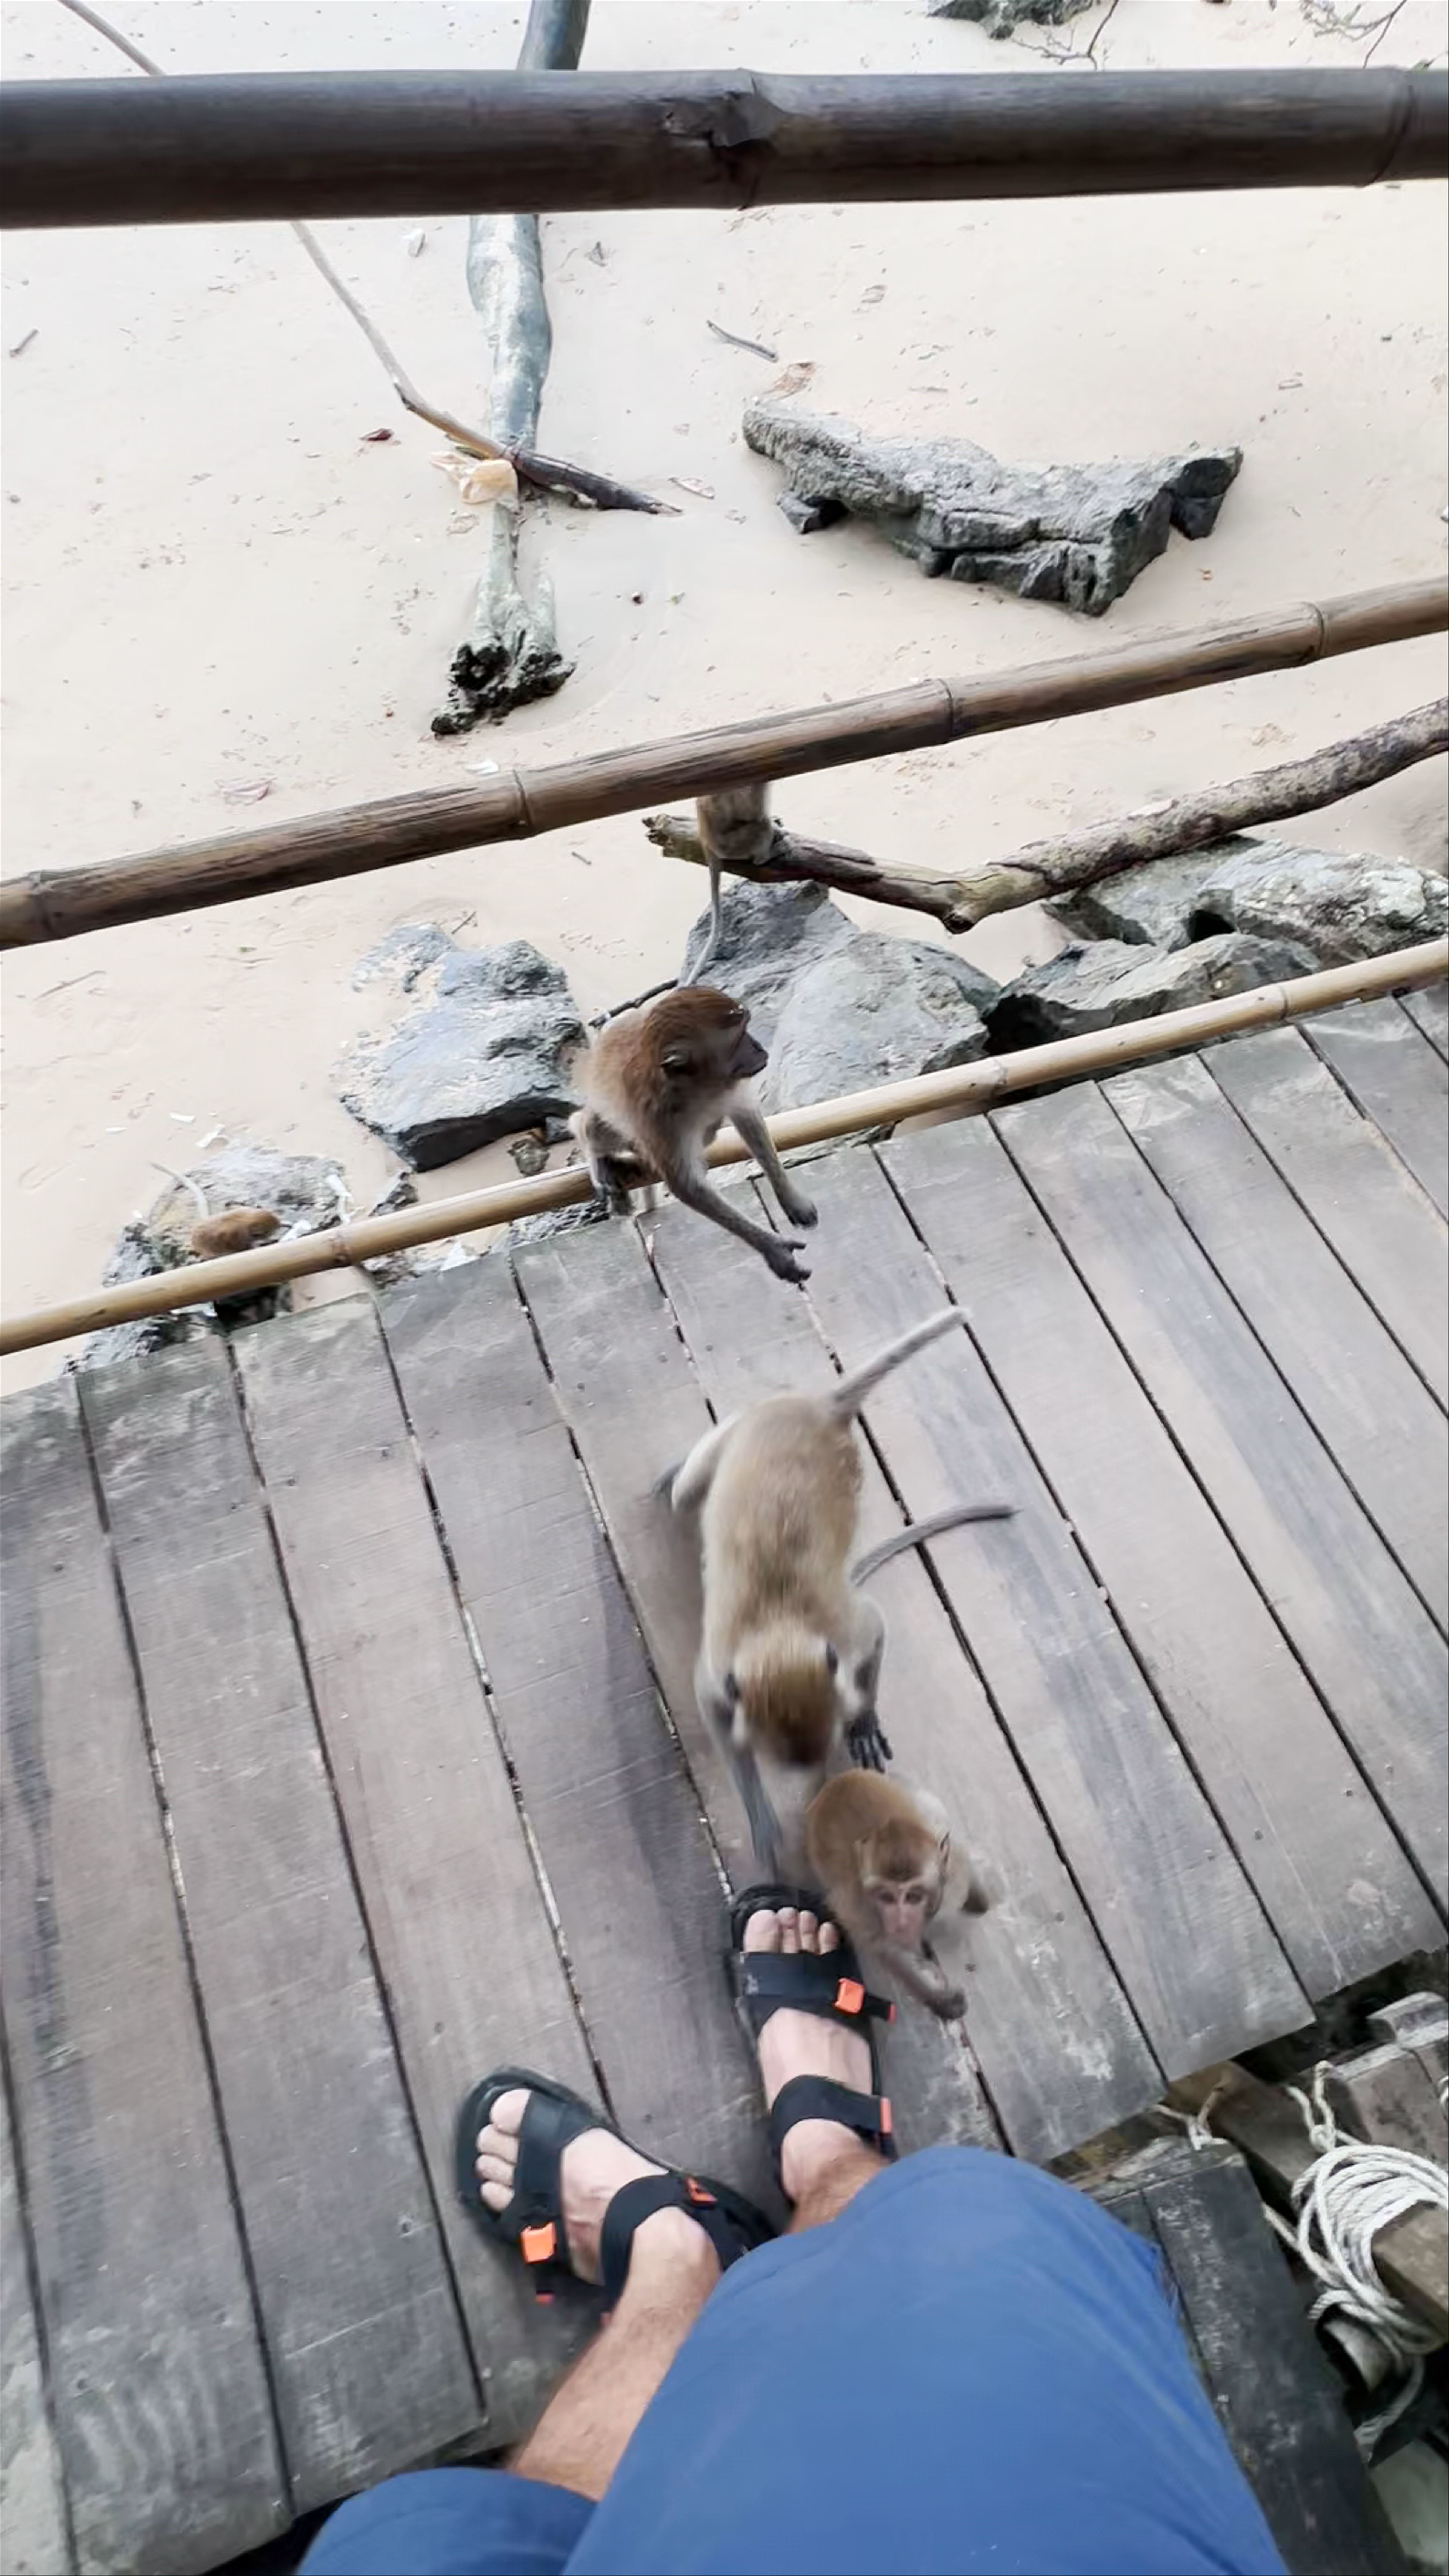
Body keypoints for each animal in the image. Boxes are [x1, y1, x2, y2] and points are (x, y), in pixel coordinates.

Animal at [570, 985, 817, 1284]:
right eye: (739, 1038)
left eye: (747, 1026)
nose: (760, 1048)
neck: (698, 1087)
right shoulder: (658, 1118)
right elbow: (687, 1185)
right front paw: (773, 1248)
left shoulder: (729, 1087)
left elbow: (749, 1117)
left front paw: (792, 1199)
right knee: (594, 1126)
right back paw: (596, 1152)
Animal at [669, 1308, 1013, 1867]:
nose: (816, 1770)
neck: (779, 1627)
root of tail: (823, 1410)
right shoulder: (719, 1673)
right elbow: (720, 1722)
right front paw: (761, 1814)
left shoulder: (846, 1632)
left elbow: (875, 1631)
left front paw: (863, 1720)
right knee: (688, 1490)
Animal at [802, 1770, 987, 2021]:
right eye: (886, 1897)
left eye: (914, 1896)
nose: (901, 1923)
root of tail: (843, 1778)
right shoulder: (859, 1909)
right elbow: (891, 1952)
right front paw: (941, 1999)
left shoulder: (953, 1880)